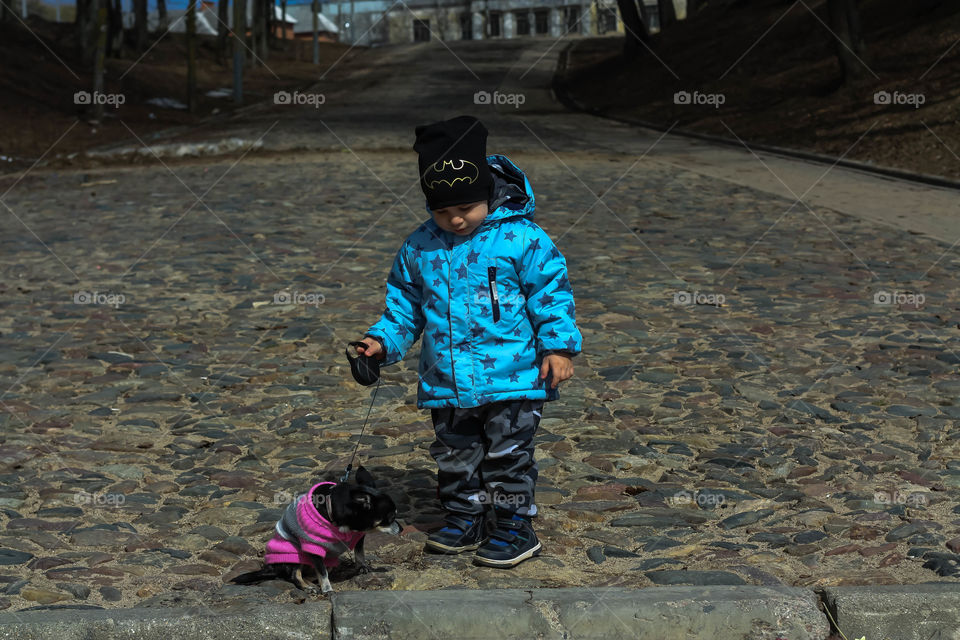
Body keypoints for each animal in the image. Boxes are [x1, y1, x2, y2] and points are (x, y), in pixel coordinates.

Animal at [234, 464, 400, 596]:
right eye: (391, 518)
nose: (402, 528)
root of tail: (272, 568)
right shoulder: (313, 547)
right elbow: (322, 573)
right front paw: (327, 589)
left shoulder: (359, 536)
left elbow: (360, 553)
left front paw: (362, 567)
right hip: (295, 555)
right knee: (294, 575)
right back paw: (307, 586)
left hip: (327, 561)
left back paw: (311, 583)